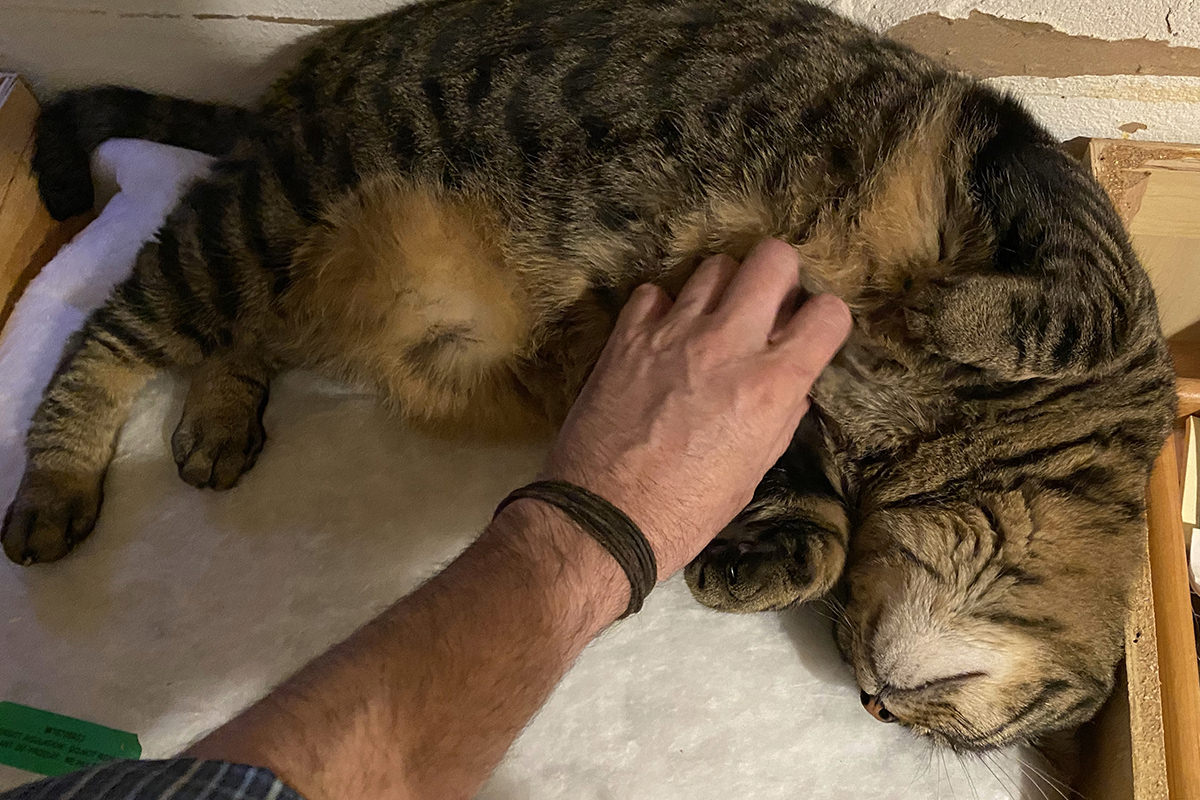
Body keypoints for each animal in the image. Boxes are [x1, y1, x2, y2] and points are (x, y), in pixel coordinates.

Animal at [4, 0, 1176, 758]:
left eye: (848, 657)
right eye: (963, 736)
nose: (872, 705)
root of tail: (307, 78)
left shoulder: (779, 417)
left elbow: (817, 522)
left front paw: (755, 564)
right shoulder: (1062, 221)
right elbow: (1049, 317)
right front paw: (924, 312)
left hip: (314, 283)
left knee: (234, 338)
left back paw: (216, 420)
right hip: (264, 223)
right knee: (110, 329)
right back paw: (55, 485)